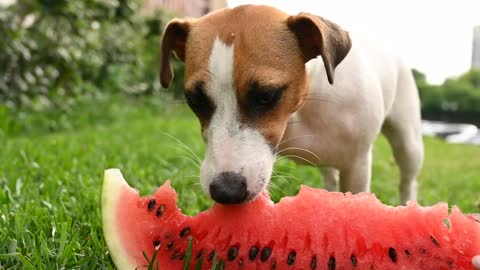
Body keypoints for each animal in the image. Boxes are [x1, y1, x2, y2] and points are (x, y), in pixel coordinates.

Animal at [158, 3, 424, 205]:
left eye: (267, 95)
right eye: (196, 99)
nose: (226, 191)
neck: (301, 108)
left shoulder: (357, 165)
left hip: (408, 142)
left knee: (408, 177)